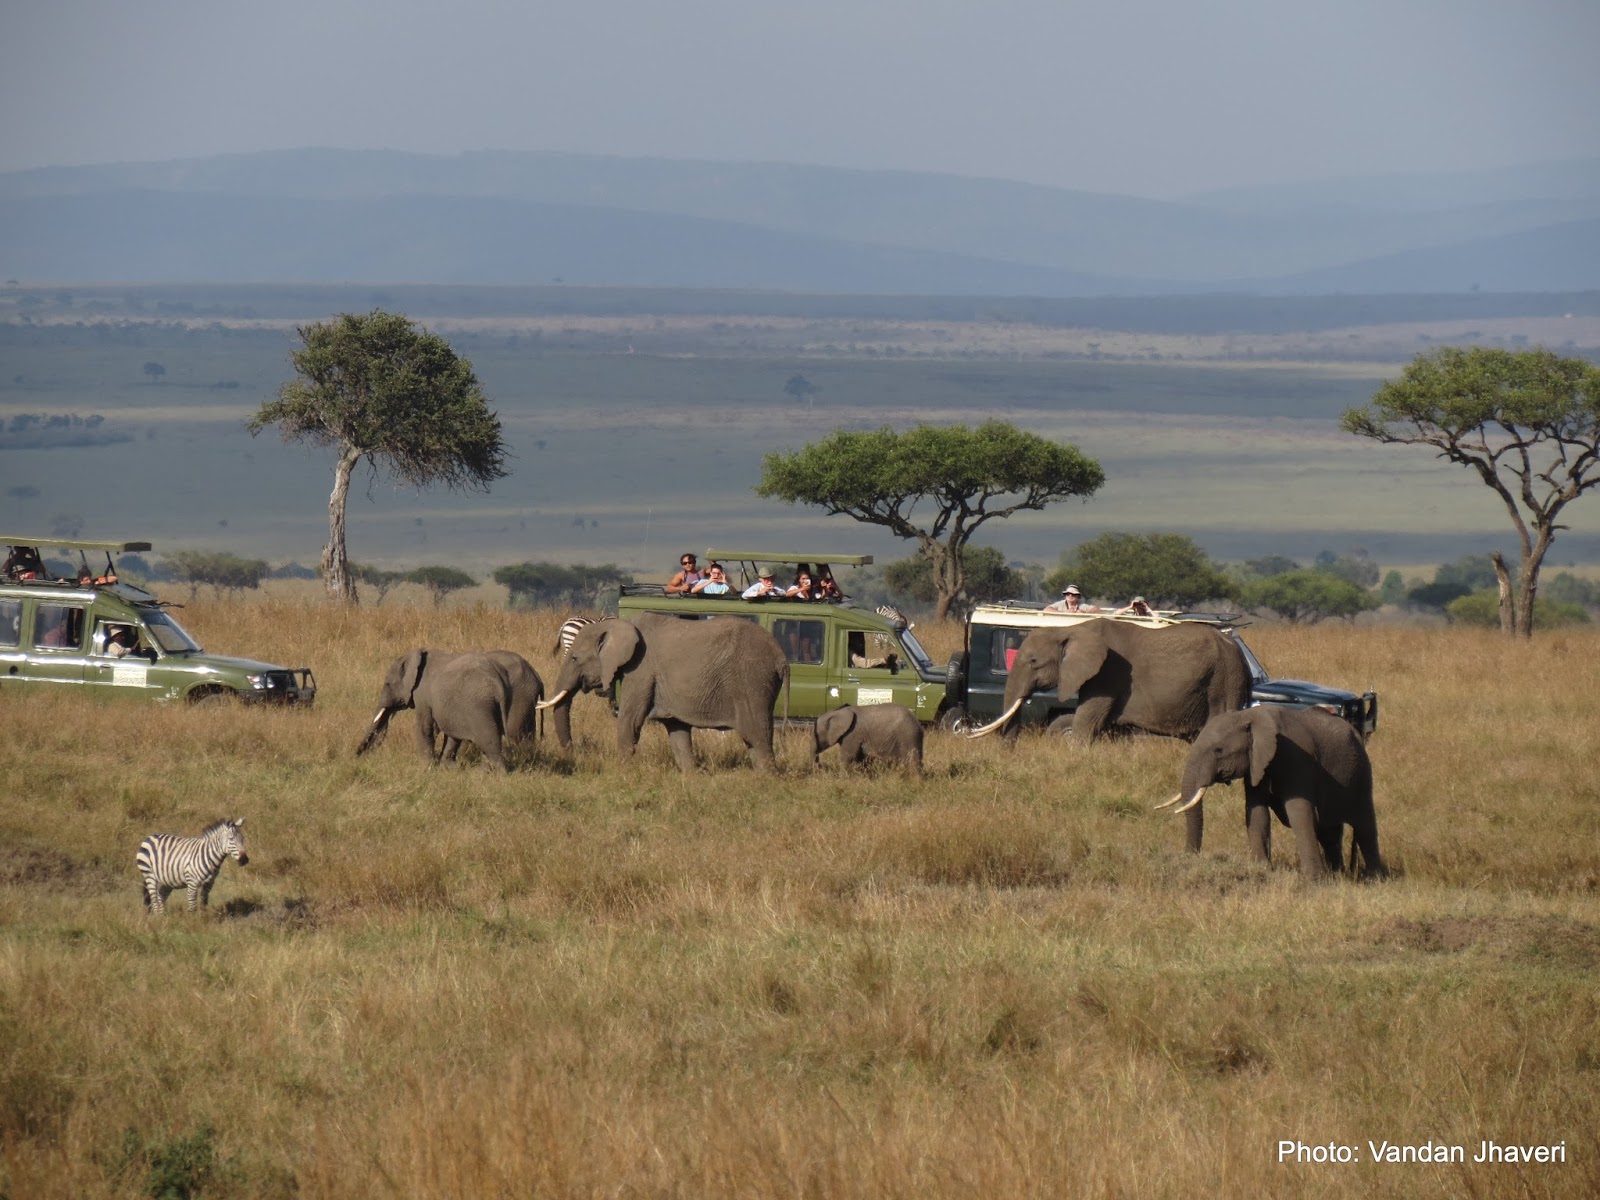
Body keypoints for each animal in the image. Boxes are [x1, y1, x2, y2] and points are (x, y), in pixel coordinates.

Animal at [356, 649, 537, 771]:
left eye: (387, 684)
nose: (356, 756)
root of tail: (499, 680)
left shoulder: (423, 694)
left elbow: (425, 727)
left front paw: (428, 767)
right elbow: (452, 735)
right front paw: (447, 767)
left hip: (482, 706)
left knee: (490, 739)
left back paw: (496, 774)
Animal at [537, 614, 787, 774]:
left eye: (575, 658)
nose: (572, 751)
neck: (620, 625)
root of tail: (781, 657)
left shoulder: (640, 669)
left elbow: (630, 718)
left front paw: (622, 771)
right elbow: (676, 729)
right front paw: (693, 776)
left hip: (752, 682)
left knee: (757, 735)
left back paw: (769, 779)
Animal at [1152, 704, 1388, 883]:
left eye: (1218, 751)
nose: (1189, 856)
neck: (1249, 716)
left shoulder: (1298, 758)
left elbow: (1300, 813)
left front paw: (1315, 881)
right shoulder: (1255, 763)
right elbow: (1256, 813)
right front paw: (1262, 870)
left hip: (1362, 772)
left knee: (1365, 825)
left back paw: (1375, 879)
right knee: (1329, 833)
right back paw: (1338, 874)